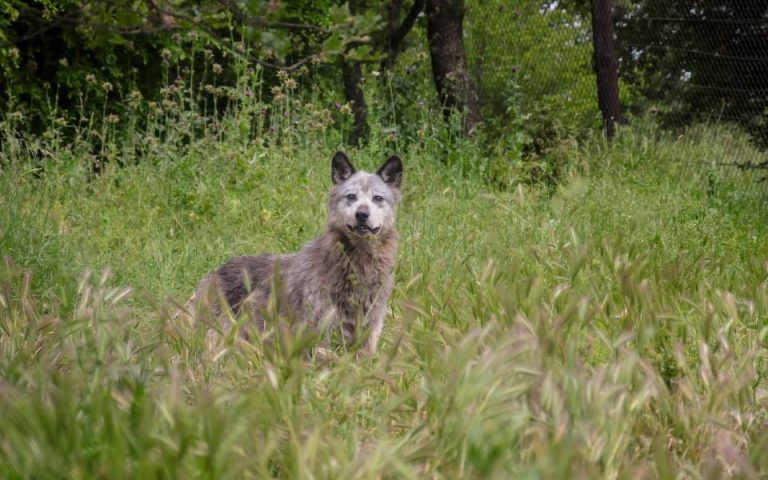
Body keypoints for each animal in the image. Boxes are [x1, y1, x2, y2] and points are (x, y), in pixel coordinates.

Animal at [185, 152, 402, 354]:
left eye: (377, 198)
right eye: (351, 197)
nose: (362, 214)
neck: (357, 267)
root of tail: (212, 274)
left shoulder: (367, 337)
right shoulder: (320, 338)